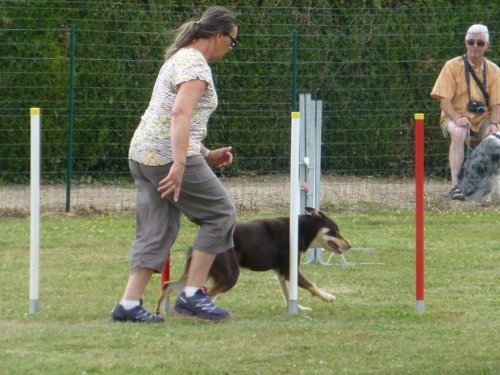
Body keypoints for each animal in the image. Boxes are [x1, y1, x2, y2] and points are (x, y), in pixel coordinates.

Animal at [154, 207, 350, 316]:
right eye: (335, 231)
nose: (349, 245)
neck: (301, 229)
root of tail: (196, 244)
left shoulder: (281, 272)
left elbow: (287, 294)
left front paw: (297, 309)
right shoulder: (289, 270)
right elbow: (311, 285)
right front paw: (328, 297)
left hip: (199, 272)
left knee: (168, 285)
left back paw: (161, 311)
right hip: (230, 276)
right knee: (208, 293)